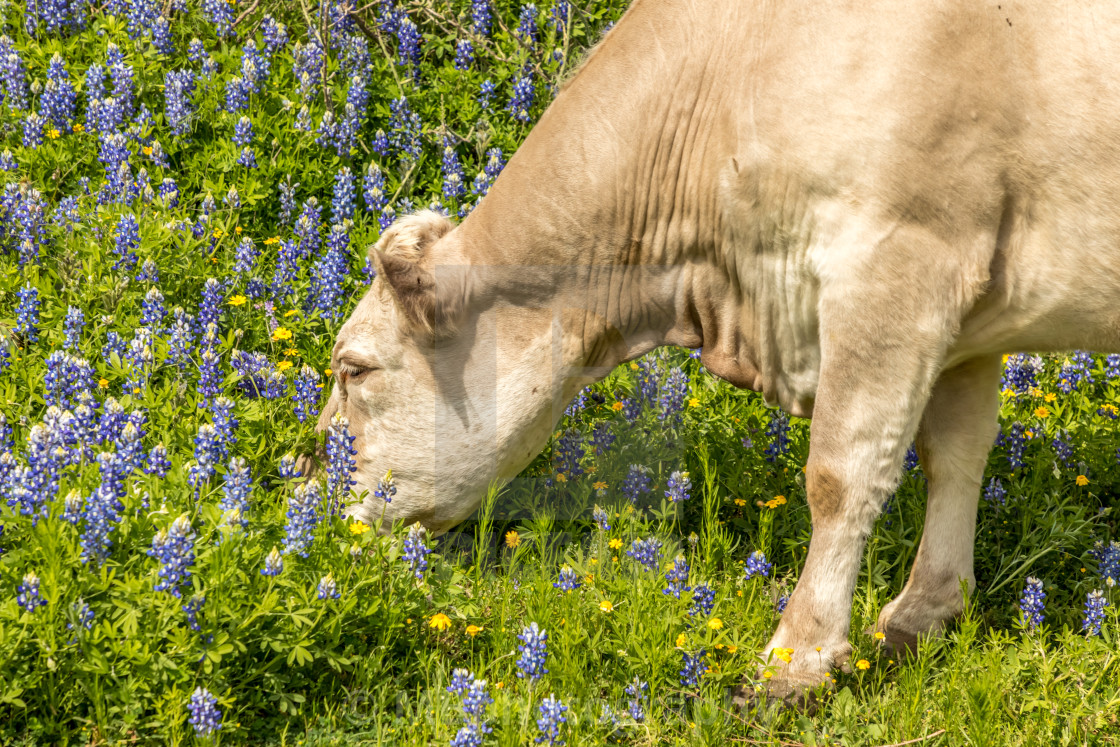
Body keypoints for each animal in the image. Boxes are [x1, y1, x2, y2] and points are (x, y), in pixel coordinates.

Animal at [311, 0, 1120, 703]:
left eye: (354, 368)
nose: (308, 498)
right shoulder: (966, 314)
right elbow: (955, 453)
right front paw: (925, 612)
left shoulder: (900, 262)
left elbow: (842, 473)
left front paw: (798, 659)